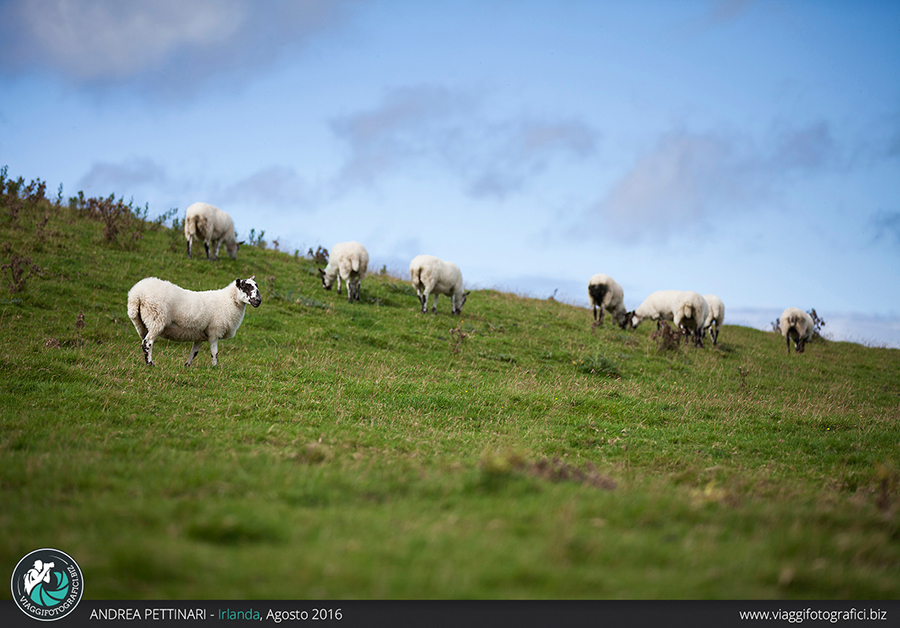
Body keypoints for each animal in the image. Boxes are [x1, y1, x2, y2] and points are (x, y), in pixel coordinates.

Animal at [126, 276, 260, 368]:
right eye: (245, 287)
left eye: (256, 286)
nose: (258, 301)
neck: (229, 300)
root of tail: (136, 294)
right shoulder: (214, 331)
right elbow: (214, 352)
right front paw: (214, 367)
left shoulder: (200, 335)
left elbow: (194, 352)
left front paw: (187, 366)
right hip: (156, 319)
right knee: (147, 343)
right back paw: (150, 364)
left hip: (140, 323)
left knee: (144, 342)